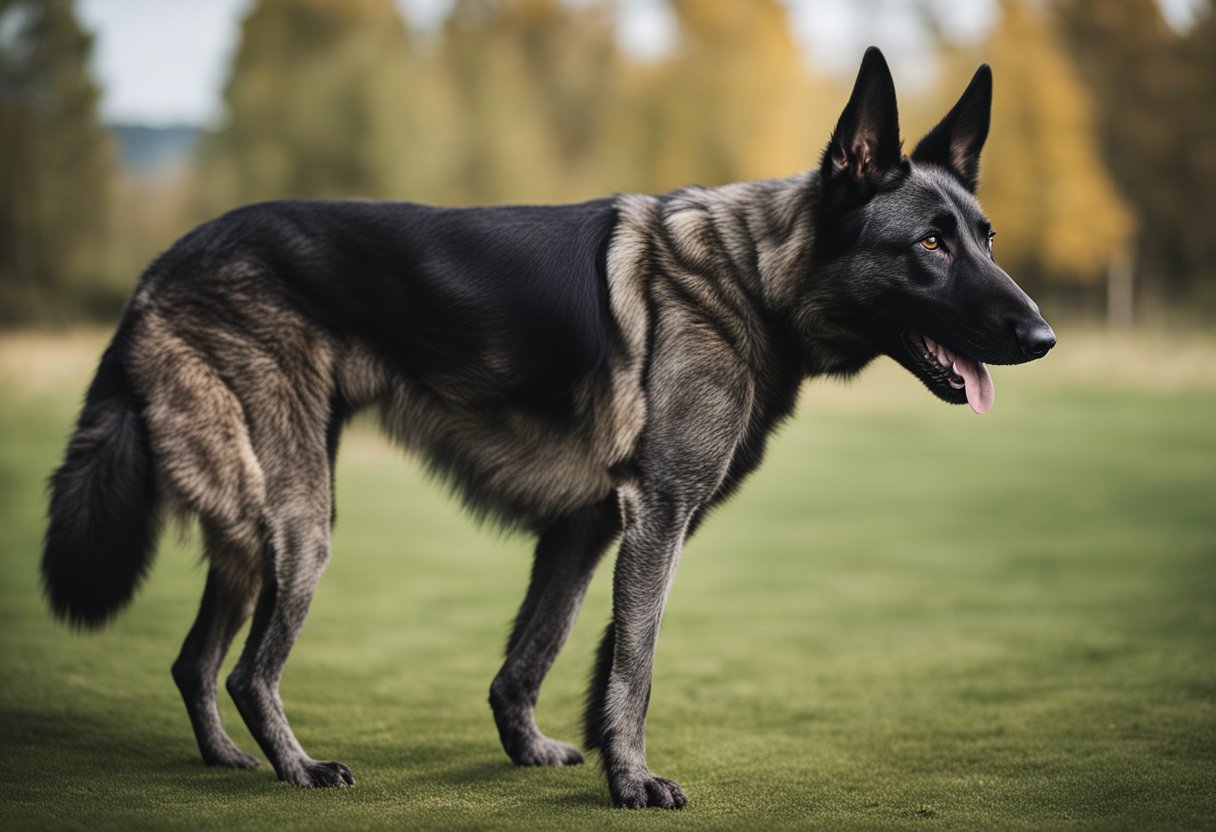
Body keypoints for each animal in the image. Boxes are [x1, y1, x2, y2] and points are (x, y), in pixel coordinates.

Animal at [42, 47, 1055, 807]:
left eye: (985, 239)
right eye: (929, 245)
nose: (1043, 338)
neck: (751, 275)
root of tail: (160, 267)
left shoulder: (592, 528)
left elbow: (553, 656)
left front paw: (558, 755)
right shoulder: (657, 516)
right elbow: (637, 660)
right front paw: (634, 782)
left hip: (254, 532)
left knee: (193, 662)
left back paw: (230, 763)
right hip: (299, 521)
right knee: (249, 670)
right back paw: (297, 768)